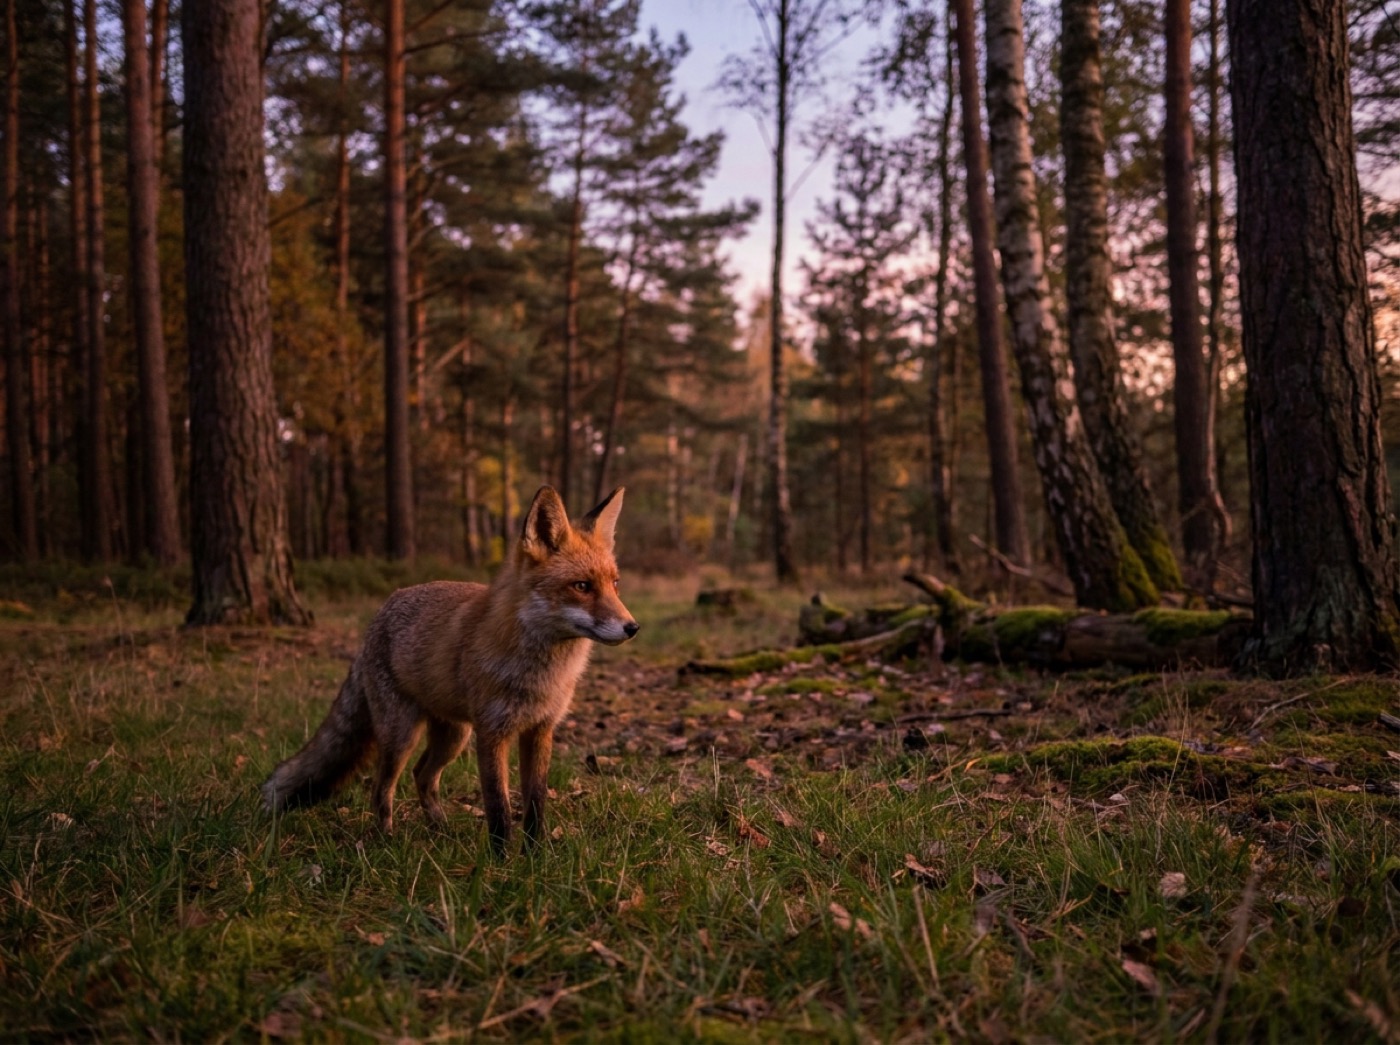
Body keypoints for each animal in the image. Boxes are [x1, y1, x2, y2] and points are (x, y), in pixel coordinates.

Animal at [261, 485, 638, 853]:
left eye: (615, 584)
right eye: (582, 586)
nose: (632, 628)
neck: (540, 676)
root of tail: (380, 612)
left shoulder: (540, 730)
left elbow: (535, 803)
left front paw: (534, 857)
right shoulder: (492, 733)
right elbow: (498, 806)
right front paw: (501, 863)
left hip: (453, 737)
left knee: (422, 776)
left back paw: (441, 830)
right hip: (402, 736)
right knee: (381, 787)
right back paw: (386, 840)